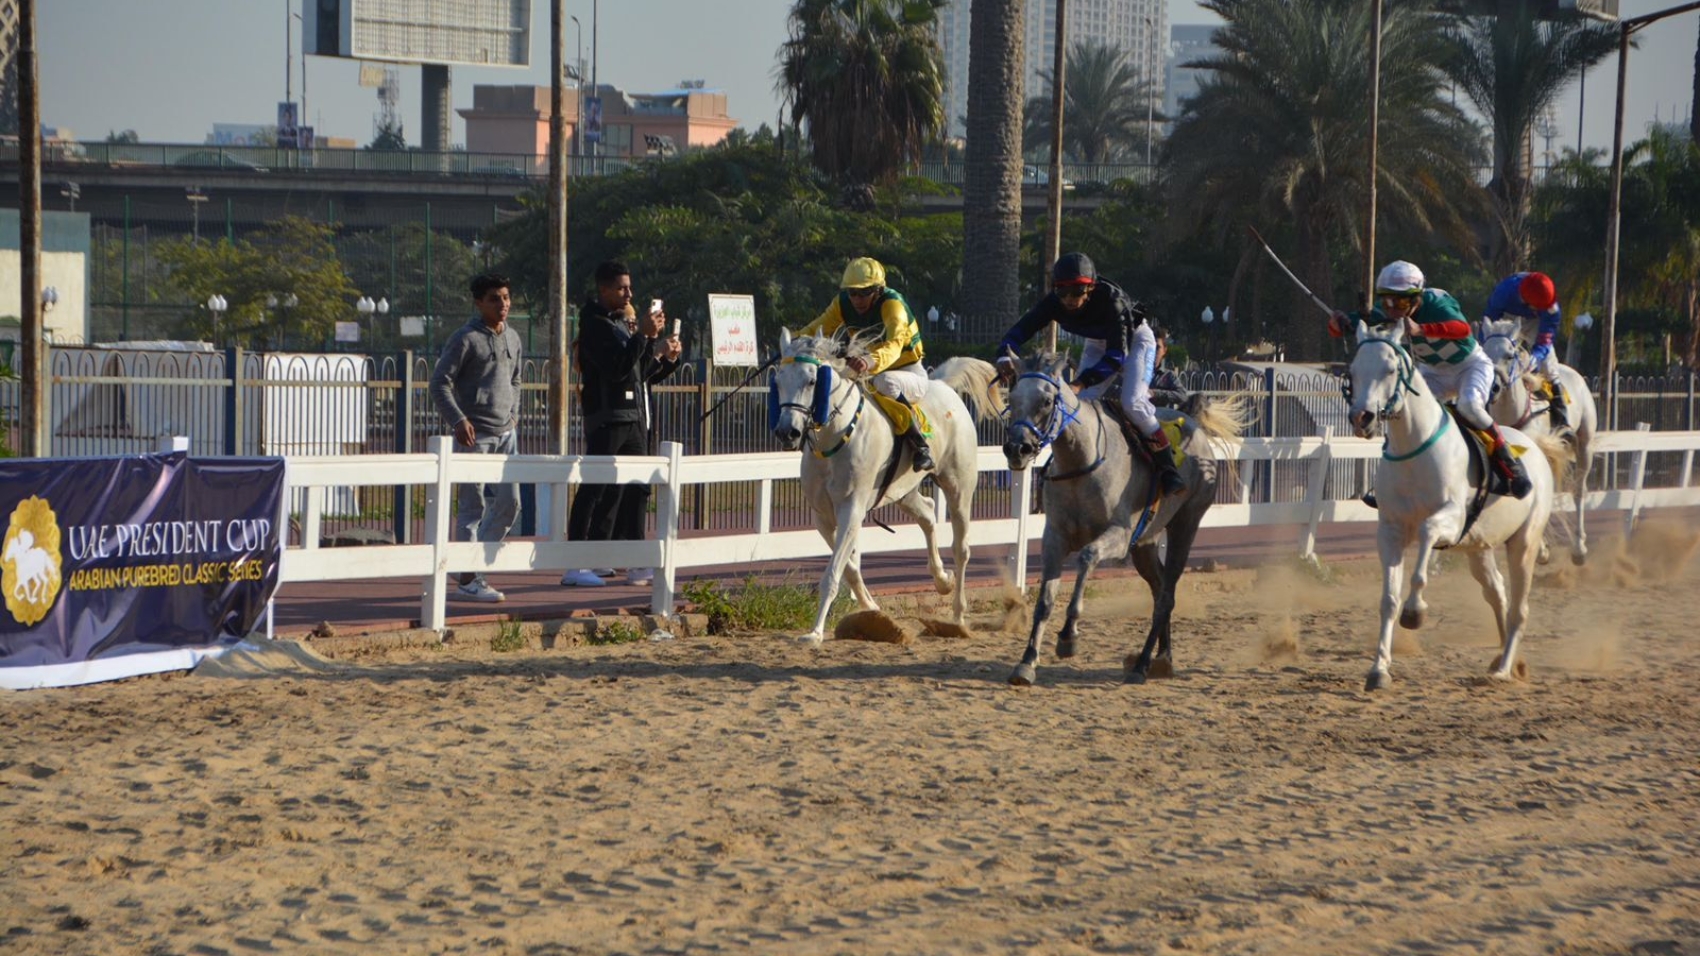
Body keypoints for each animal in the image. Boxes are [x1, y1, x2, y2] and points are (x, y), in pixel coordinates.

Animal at [768, 330, 992, 646]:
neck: (837, 437)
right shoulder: (822, 516)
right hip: (902, 492)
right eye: (778, 381)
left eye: (812, 381)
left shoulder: (852, 509)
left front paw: (815, 631)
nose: (787, 432)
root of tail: (943, 386)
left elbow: (833, 572)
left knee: (961, 548)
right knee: (928, 513)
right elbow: (849, 569)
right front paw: (872, 608)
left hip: (959, 488)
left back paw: (958, 614)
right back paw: (941, 580)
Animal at [992, 350, 1251, 683]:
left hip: (1186, 524)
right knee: (1158, 588)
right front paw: (1026, 661)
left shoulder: (1120, 534)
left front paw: (1069, 636)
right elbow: (1045, 600)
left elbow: (1087, 557)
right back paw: (1163, 658)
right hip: (1146, 544)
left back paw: (1142, 664)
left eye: (1047, 401)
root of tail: (1193, 425)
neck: (1081, 461)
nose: (1017, 449)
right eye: (1012, 396)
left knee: (1167, 595)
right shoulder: (1055, 537)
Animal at [1346, 319, 1570, 683]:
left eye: (1390, 369)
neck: (1415, 449)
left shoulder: (1449, 520)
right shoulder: (1390, 530)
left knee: (1520, 608)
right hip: (1479, 548)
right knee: (1497, 593)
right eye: (1353, 370)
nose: (1361, 418)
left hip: (1524, 542)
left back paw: (1504, 669)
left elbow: (1424, 546)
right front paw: (1379, 668)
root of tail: (1535, 447)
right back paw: (1503, 659)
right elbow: (1388, 599)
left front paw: (1415, 612)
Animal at [1475, 316, 1591, 561]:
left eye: (1510, 355)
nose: (1493, 387)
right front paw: (1543, 548)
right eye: (1485, 353)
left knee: (1578, 491)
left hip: (1584, 445)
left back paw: (1579, 548)